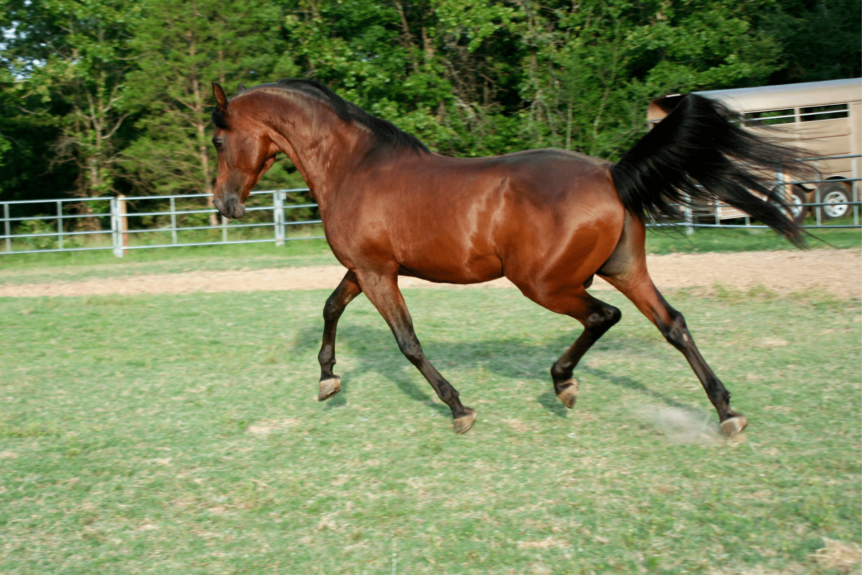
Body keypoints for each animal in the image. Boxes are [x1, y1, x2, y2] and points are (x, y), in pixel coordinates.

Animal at [209, 79, 809, 437]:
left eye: (217, 140)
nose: (223, 204)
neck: (354, 167)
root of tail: (611, 174)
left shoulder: (378, 273)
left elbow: (407, 342)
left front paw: (459, 409)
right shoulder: (364, 269)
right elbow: (331, 307)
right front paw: (327, 379)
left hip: (544, 283)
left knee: (603, 316)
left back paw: (563, 382)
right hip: (624, 269)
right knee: (674, 324)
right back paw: (726, 411)